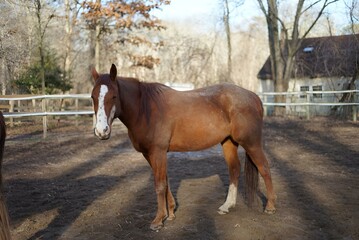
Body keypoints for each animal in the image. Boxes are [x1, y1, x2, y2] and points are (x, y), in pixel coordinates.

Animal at [91, 64, 278, 231]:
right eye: (93, 97)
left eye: (114, 96)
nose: (101, 131)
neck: (145, 109)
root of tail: (253, 96)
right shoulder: (150, 154)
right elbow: (165, 181)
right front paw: (170, 213)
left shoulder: (158, 152)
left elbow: (159, 184)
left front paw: (158, 220)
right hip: (228, 142)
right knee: (234, 169)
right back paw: (227, 206)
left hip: (251, 143)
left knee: (264, 168)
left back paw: (270, 206)